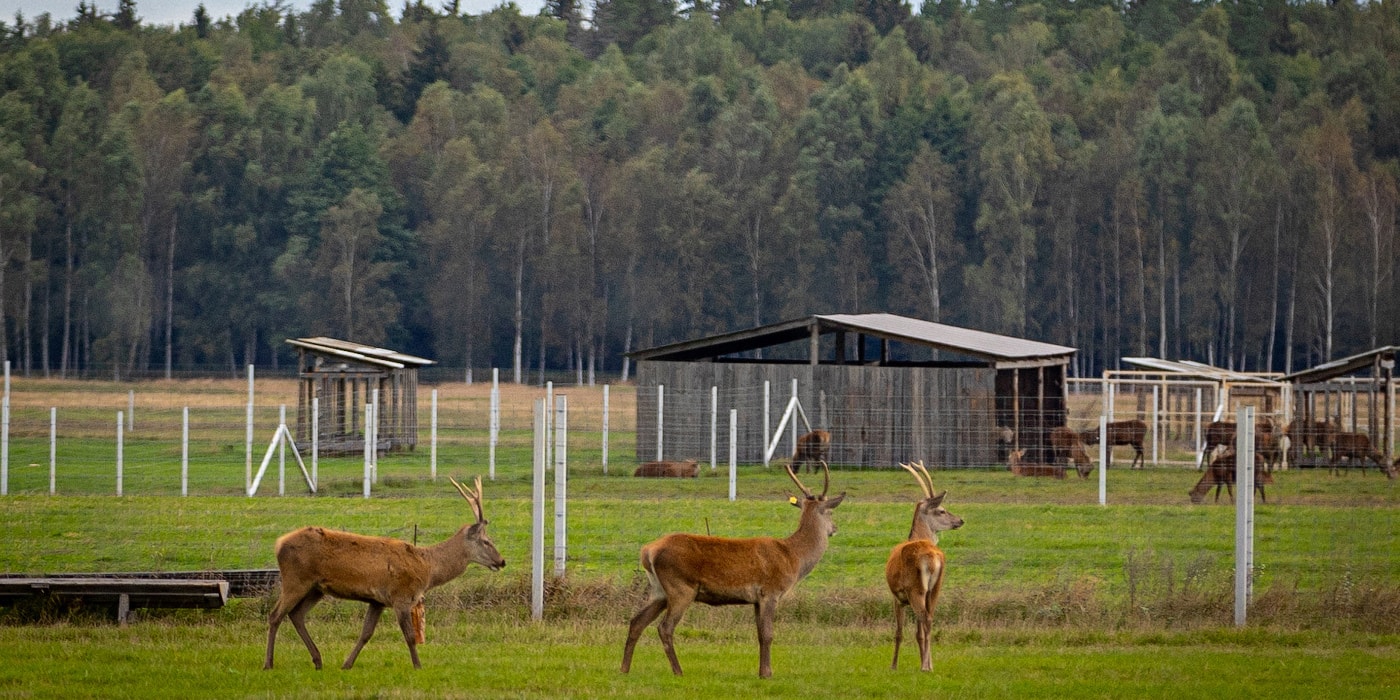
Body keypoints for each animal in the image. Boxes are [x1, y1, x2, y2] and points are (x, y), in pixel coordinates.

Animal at [260, 478, 506, 669]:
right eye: (486, 541)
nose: (502, 561)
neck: (427, 567)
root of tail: (279, 544)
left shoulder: (377, 601)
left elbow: (366, 633)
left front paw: (347, 664)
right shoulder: (401, 596)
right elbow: (410, 636)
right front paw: (418, 666)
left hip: (316, 588)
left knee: (296, 615)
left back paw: (318, 660)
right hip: (295, 579)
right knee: (275, 615)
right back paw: (269, 663)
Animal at [621, 456, 840, 674]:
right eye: (830, 512)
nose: (835, 529)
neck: (793, 557)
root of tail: (648, 551)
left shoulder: (756, 599)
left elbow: (760, 634)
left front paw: (761, 672)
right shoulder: (770, 592)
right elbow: (768, 634)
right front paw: (767, 673)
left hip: (659, 590)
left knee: (636, 621)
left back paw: (624, 669)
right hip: (680, 586)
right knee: (665, 628)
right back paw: (678, 671)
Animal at [884, 459, 963, 672]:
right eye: (942, 510)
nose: (960, 520)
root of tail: (931, 556)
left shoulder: (897, 597)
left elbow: (899, 632)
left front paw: (893, 665)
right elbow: (918, 634)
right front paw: (922, 660)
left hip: (915, 588)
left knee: (926, 618)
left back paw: (925, 666)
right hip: (935, 588)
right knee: (930, 619)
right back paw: (929, 665)